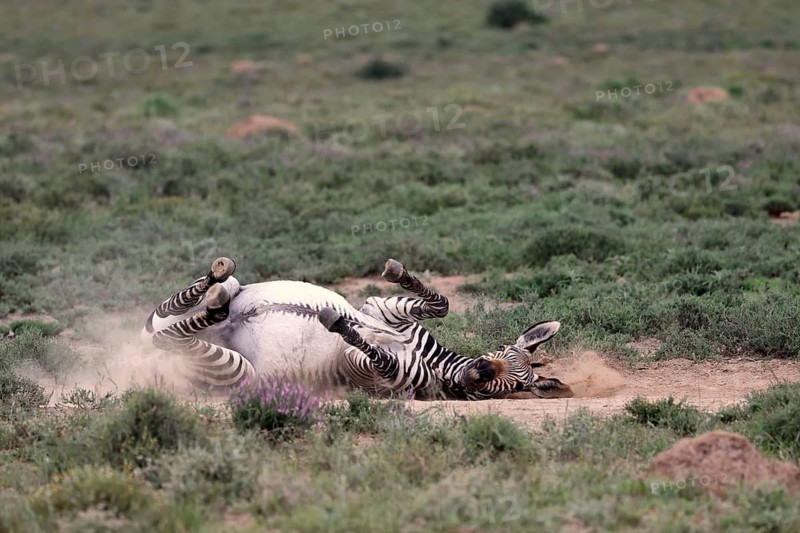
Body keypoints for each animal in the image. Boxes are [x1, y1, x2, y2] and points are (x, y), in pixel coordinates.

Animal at [140, 257, 573, 400]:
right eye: (502, 355)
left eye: (515, 387)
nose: (480, 372)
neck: (431, 360)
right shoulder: (384, 310)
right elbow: (441, 303)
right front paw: (397, 271)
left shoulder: (373, 374)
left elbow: (373, 352)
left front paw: (339, 324)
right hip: (202, 304)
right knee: (192, 304)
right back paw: (217, 281)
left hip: (234, 369)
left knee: (172, 339)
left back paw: (215, 308)